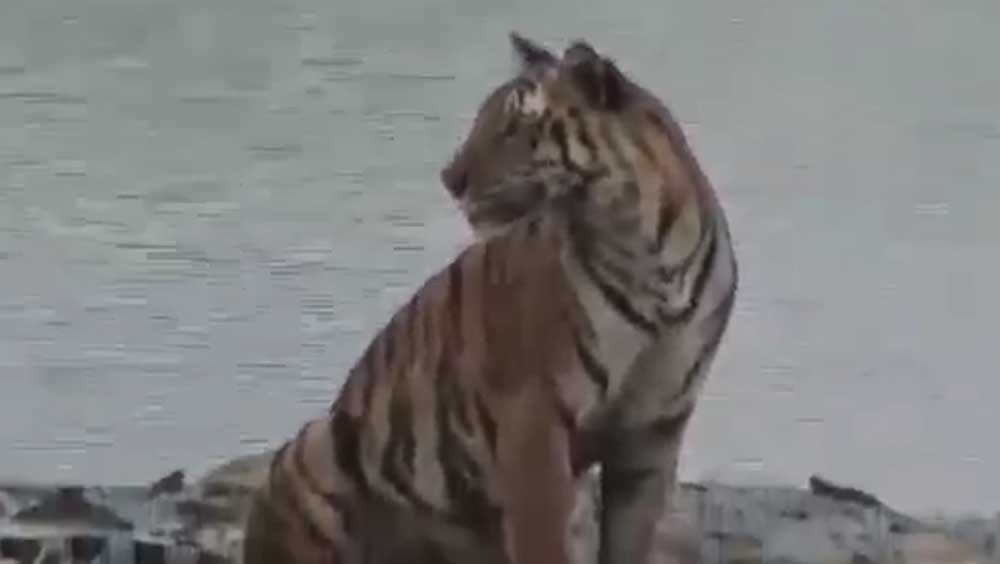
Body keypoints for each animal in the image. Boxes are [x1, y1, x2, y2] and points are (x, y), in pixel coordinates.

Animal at [242, 33, 738, 564]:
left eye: (514, 127)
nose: (448, 177)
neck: (645, 253)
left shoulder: (653, 430)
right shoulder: (534, 420)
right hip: (317, 443)